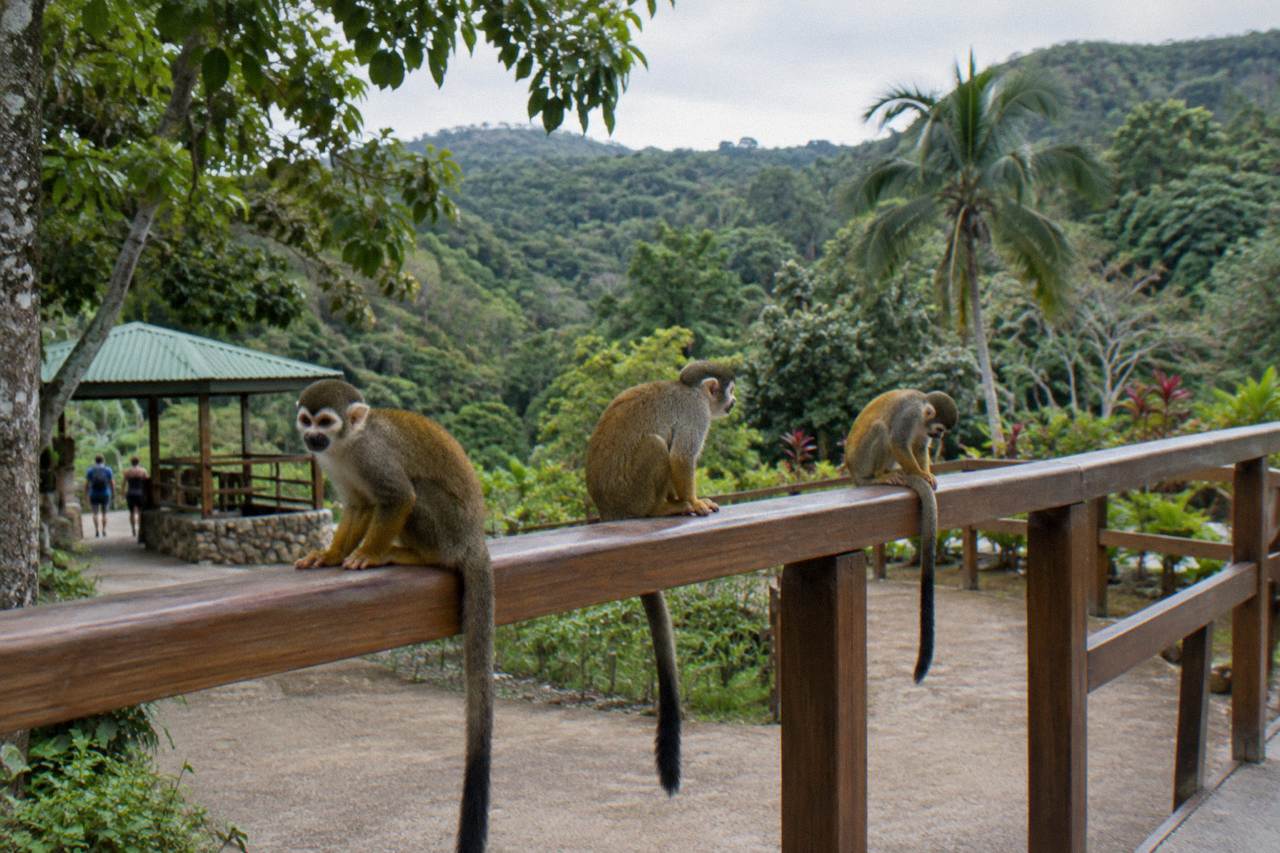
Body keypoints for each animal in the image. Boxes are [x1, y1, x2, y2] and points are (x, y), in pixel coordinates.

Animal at [292, 379, 494, 853]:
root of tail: (473, 537)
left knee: (415, 496)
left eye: (325, 421)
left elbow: (398, 496)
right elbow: (358, 507)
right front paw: (330, 556)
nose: (311, 438)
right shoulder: (335, 463)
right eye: (306, 421)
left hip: (447, 526)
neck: (347, 445)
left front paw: (366, 555)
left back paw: (411, 555)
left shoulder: (373, 456)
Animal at [584, 360, 737, 796]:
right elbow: (682, 457)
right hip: (631, 492)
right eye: (728, 392)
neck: (692, 392)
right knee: (658, 446)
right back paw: (663, 508)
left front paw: (691, 501)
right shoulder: (696, 415)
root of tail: (610, 510)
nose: (734, 402)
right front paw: (693, 501)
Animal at [842, 389, 958, 683]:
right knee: (883, 430)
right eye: (941, 429)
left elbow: (919, 447)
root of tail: (852, 471)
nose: (939, 437)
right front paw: (919, 474)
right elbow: (897, 440)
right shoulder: (910, 415)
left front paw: (926, 472)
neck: (922, 411)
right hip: (861, 461)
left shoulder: (922, 430)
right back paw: (878, 476)